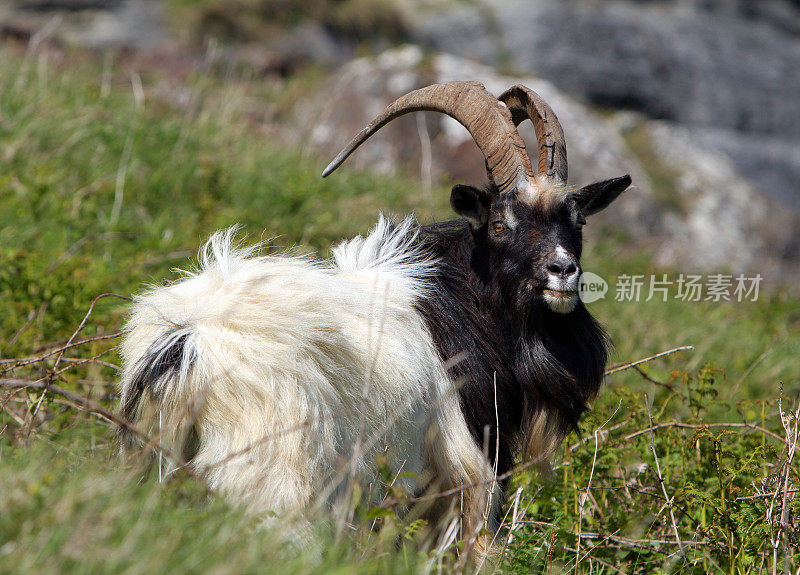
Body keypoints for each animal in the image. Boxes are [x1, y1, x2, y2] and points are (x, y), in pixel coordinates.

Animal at [119, 81, 632, 548]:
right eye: (501, 225)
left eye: (577, 222)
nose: (563, 270)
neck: (465, 300)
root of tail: (184, 346)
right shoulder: (469, 471)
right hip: (272, 476)